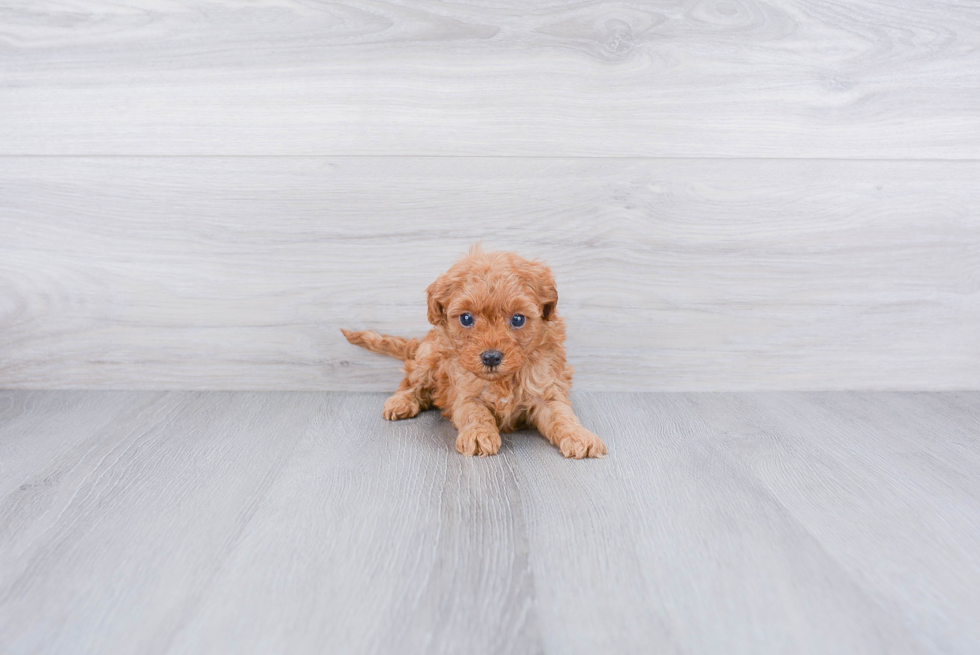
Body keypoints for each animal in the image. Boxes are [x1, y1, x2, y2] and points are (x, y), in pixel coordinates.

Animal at [342, 243, 604, 458]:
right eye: (466, 318)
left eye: (518, 319)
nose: (491, 357)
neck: (502, 380)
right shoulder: (465, 393)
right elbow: (475, 413)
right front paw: (479, 434)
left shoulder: (546, 389)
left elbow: (562, 415)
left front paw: (579, 435)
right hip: (428, 358)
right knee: (411, 382)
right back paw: (401, 401)